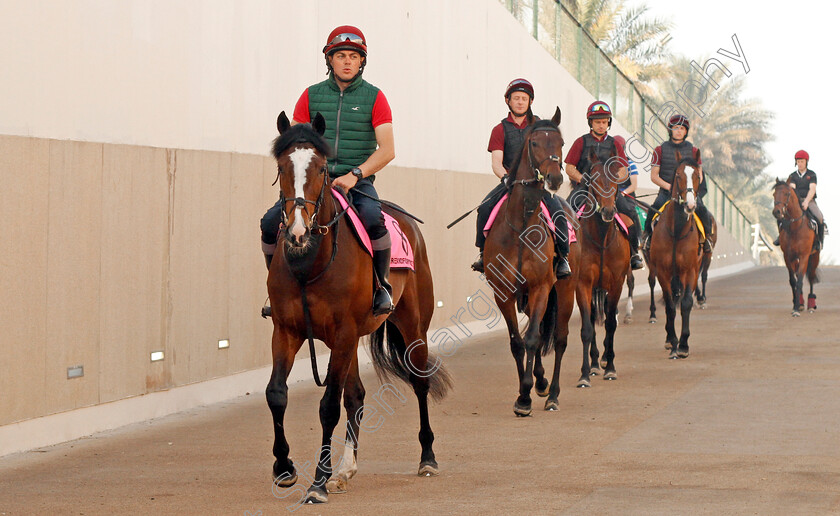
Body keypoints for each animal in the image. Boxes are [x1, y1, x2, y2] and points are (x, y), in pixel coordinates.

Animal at [270, 111, 452, 502]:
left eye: (322, 168)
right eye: (281, 165)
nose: (297, 231)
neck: (310, 263)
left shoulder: (343, 333)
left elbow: (327, 407)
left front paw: (317, 483)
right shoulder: (286, 330)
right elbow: (276, 394)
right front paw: (284, 468)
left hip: (412, 326)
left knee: (419, 382)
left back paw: (427, 457)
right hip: (351, 342)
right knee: (356, 397)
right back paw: (345, 471)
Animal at [482, 108, 568, 416]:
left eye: (561, 142)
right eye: (534, 143)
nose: (554, 179)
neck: (521, 228)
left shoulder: (542, 287)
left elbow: (532, 339)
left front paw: (529, 392)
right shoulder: (504, 293)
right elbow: (517, 343)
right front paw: (523, 395)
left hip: (565, 291)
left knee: (559, 339)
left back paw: (552, 393)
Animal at [572, 147, 632, 384]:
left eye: (615, 178)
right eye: (594, 179)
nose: (607, 211)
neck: (601, 239)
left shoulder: (616, 283)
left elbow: (610, 324)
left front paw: (611, 368)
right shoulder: (583, 284)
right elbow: (587, 328)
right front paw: (585, 373)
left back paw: (605, 359)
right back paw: (596, 363)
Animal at [648, 151, 704, 356]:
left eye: (697, 176)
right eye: (678, 175)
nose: (690, 205)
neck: (677, 231)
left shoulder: (690, 270)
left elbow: (686, 302)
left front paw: (683, 344)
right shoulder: (663, 271)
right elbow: (670, 305)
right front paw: (672, 341)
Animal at [772, 179, 816, 316]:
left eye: (787, 194)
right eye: (774, 194)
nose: (777, 212)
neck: (795, 227)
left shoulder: (804, 256)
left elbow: (800, 280)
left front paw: (796, 309)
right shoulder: (788, 256)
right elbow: (793, 281)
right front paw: (796, 305)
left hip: (814, 256)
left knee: (811, 277)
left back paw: (811, 305)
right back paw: (801, 302)